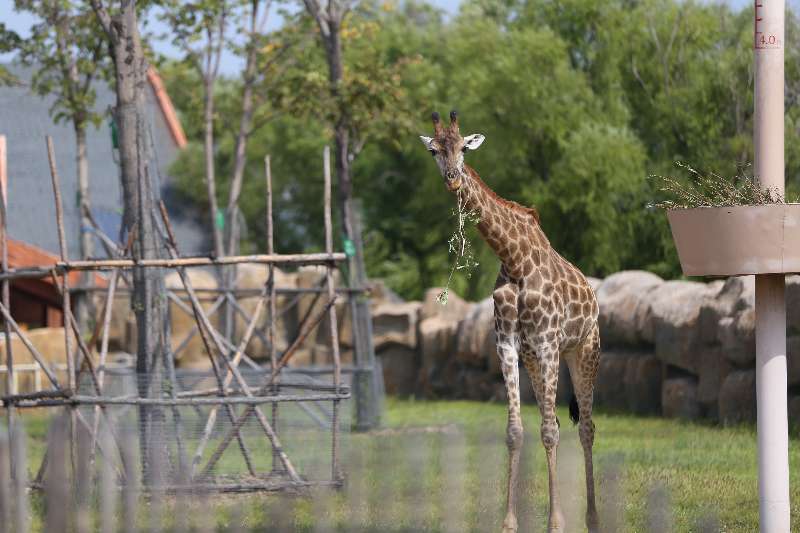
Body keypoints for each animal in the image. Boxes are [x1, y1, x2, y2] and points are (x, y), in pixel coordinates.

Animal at [418, 110, 600, 528]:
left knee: (586, 426)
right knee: (562, 422)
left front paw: (555, 523)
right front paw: (509, 524)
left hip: (583, 349)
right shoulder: (508, 346)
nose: (452, 177)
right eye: (435, 149)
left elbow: (549, 431)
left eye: (463, 148)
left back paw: (592, 519)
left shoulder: (548, 344)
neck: (514, 259)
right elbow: (516, 431)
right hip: (536, 359)